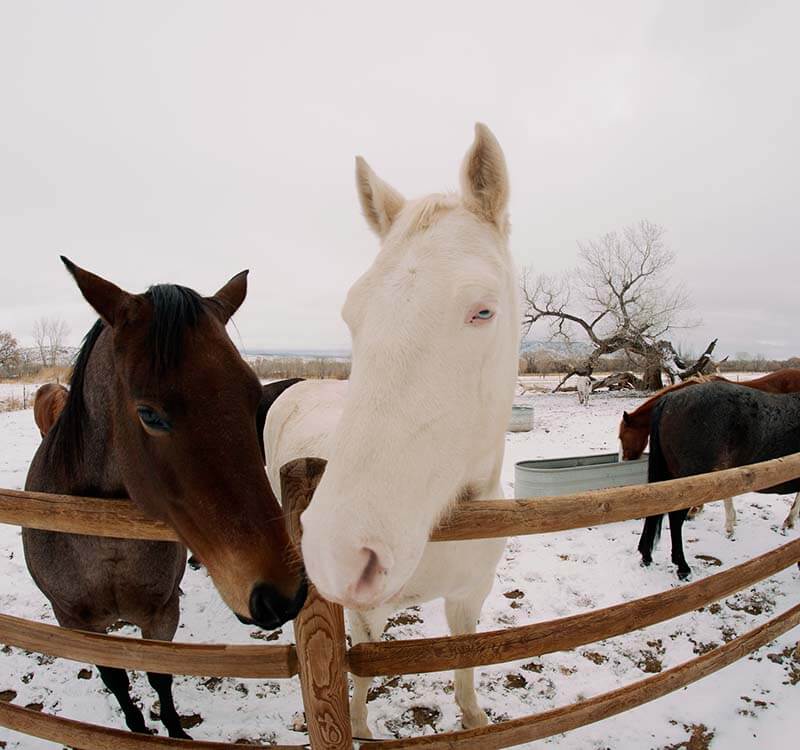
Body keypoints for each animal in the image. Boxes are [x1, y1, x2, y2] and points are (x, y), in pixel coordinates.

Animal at [23, 260, 306, 740]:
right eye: (149, 414)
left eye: (252, 397)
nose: (282, 593)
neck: (103, 540)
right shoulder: (76, 623)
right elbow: (116, 677)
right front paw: (136, 726)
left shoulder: (160, 614)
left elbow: (159, 674)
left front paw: (175, 730)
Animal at [266, 125, 520, 740]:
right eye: (351, 315)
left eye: (483, 311)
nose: (337, 552)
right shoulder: (366, 612)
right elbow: (361, 670)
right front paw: (360, 726)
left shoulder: (470, 596)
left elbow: (466, 667)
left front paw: (475, 718)